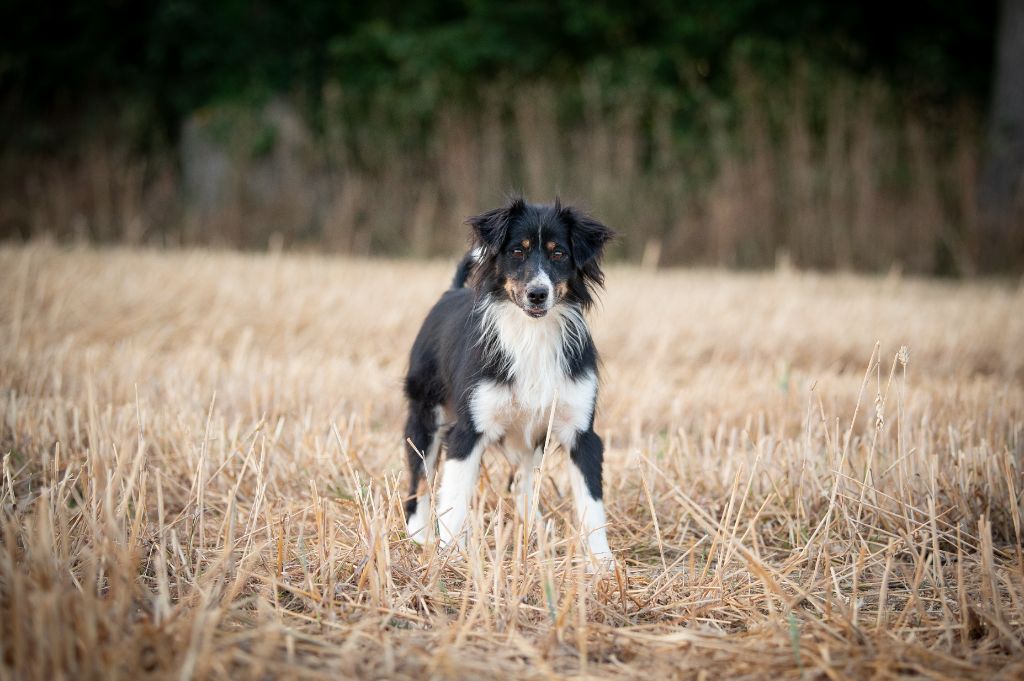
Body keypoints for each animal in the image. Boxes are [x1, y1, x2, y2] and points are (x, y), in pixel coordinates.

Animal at [401, 192, 610, 561]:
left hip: (530, 442)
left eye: (559, 253)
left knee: (524, 485)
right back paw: (418, 537)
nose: (537, 293)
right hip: (425, 417)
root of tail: (450, 292)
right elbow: (454, 501)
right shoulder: (468, 430)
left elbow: (592, 505)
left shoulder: (581, 433)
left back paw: (535, 531)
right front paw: (452, 559)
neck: (533, 333)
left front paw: (604, 565)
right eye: (517, 251)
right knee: (419, 483)